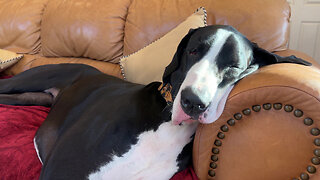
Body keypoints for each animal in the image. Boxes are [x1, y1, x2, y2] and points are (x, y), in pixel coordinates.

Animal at [0, 25, 310, 179]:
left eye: (234, 66)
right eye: (193, 51)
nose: (193, 103)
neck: (166, 125)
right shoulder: (63, 169)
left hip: (31, 97)